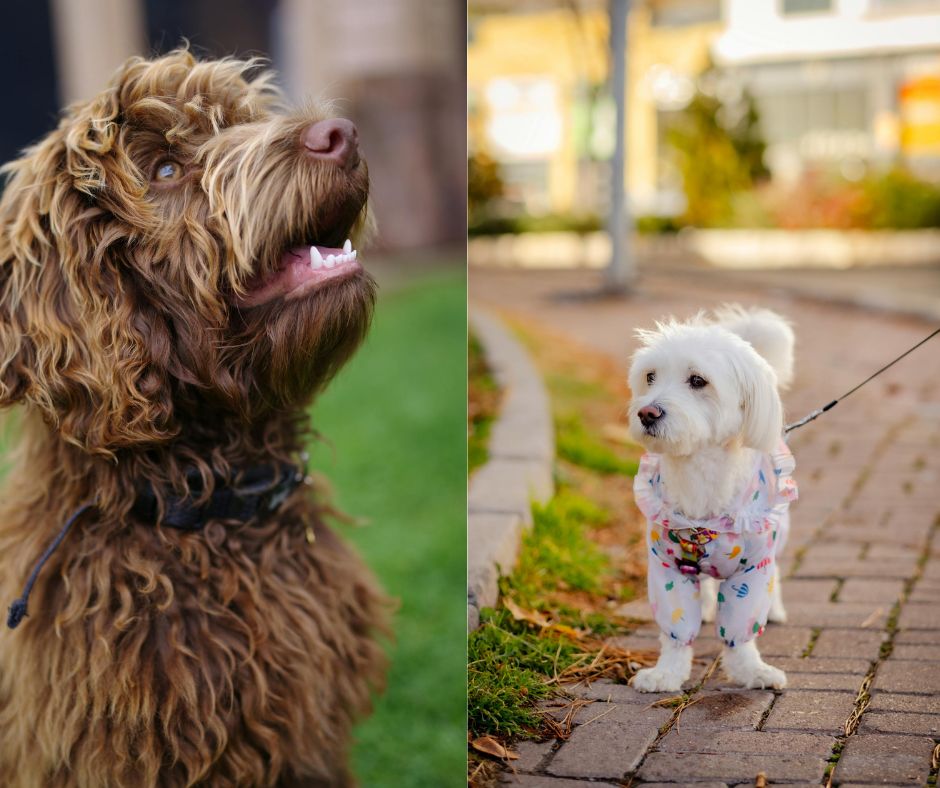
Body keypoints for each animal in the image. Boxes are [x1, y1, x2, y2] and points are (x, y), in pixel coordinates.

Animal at [628, 306, 796, 688]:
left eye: (697, 381)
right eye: (650, 377)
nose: (647, 413)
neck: (699, 475)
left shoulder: (752, 570)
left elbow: (740, 629)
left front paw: (752, 670)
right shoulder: (666, 568)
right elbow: (676, 629)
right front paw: (666, 674)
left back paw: (777, 609)